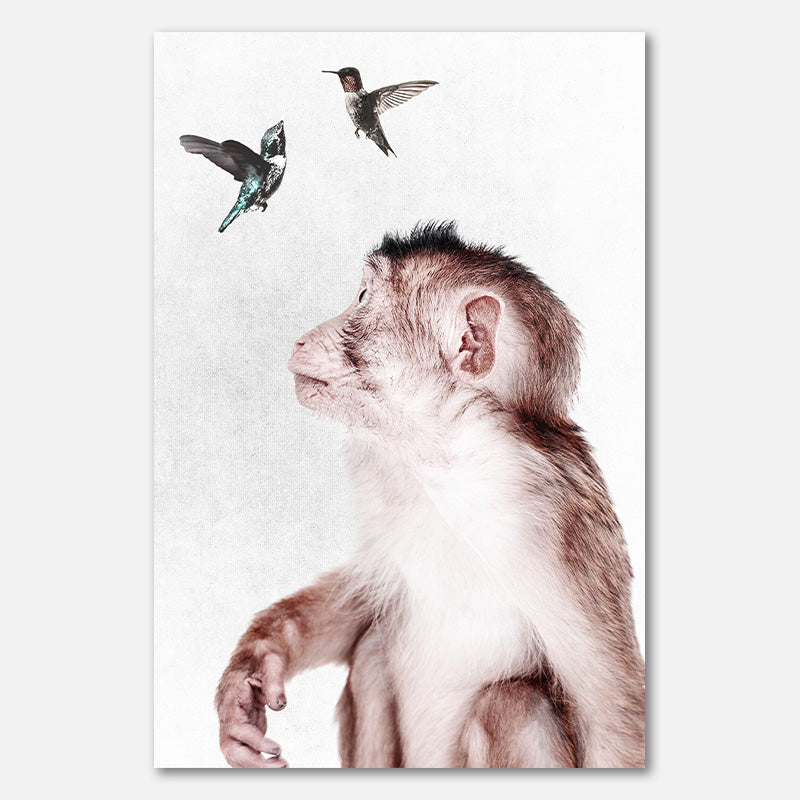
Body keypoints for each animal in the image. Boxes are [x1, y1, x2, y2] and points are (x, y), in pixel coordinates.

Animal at [215, 221, 645, 768]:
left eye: (361, 298)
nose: (301, 337)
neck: (455, 464)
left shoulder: (557, 524)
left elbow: (611, 715)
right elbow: (364, 597)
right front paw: (255, 668)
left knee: (511, 702)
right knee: (373, 653)